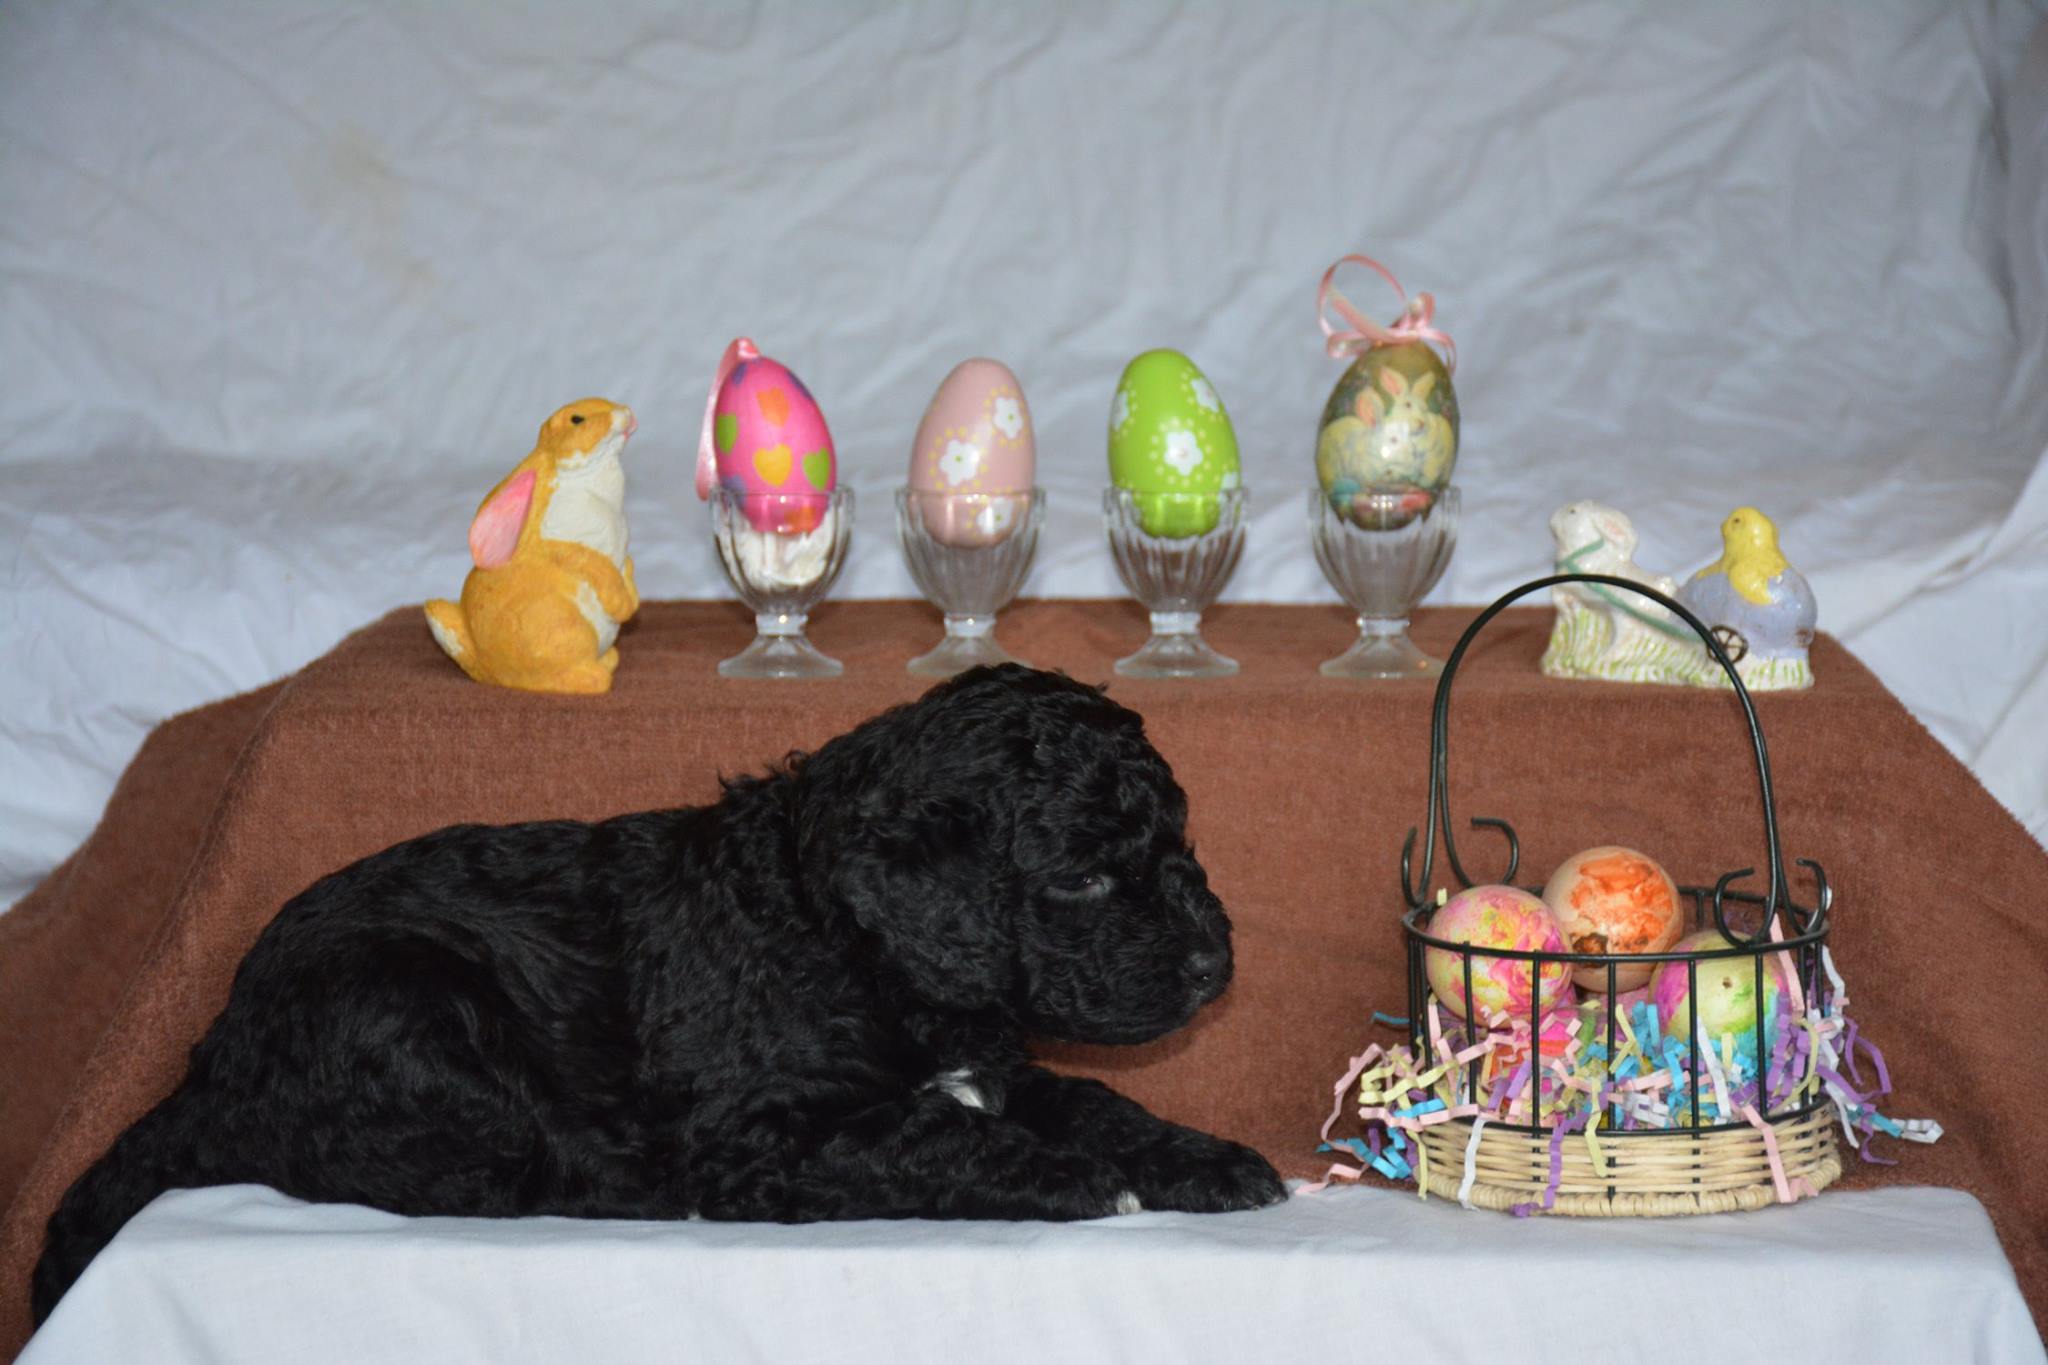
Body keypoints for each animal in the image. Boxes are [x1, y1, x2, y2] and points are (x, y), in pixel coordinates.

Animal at [33, 665, 1284, 1322]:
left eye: (1178, 847)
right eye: (1079, 877)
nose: (1211, 966)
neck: (835, 933)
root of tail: (214, 1050)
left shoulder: (991, 1062)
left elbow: (1090, 1100)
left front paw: (1202, 1159)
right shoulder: (764, 1137)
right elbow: (927, 1137)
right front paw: (1072, 1179)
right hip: (408, 1005)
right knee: (448, 1169)